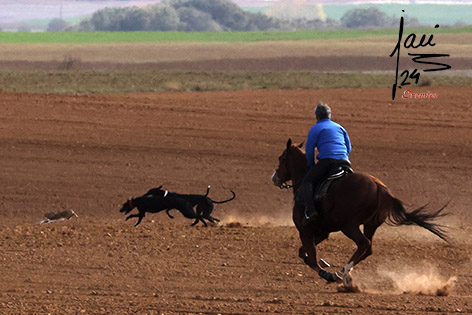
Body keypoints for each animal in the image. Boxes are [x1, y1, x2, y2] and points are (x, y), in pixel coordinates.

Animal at [272, 139, 448, 288]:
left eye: (281, 158)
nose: (274, 178)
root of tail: (380, 188)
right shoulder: (322, 232)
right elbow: (304, 254)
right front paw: (329, 269)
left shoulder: (305, 231)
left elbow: (312, 259)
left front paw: (327, 274)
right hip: (371, 225)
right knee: (368, 248)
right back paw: (344, 273)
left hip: (349, 226)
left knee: (364, 243)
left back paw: (343, 272)